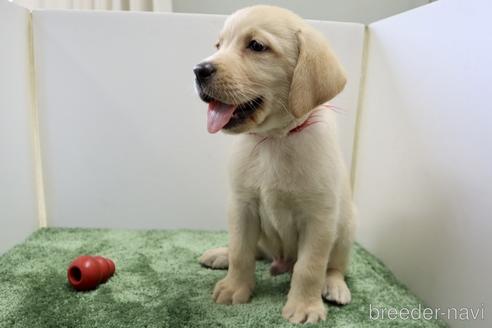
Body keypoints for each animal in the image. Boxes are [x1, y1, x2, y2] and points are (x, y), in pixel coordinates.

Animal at [194, 4, 356, 322]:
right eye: (219, 46)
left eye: (257, 46)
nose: (199, 70)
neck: (275, 139)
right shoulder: (242, 206)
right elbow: (242, 252)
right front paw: (234, 288)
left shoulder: (319, 217)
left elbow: (309, 267)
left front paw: (304, 306)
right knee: (253, 250)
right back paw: (221, 254)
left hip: (345, 227)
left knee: (334, 266)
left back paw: (334, 286)